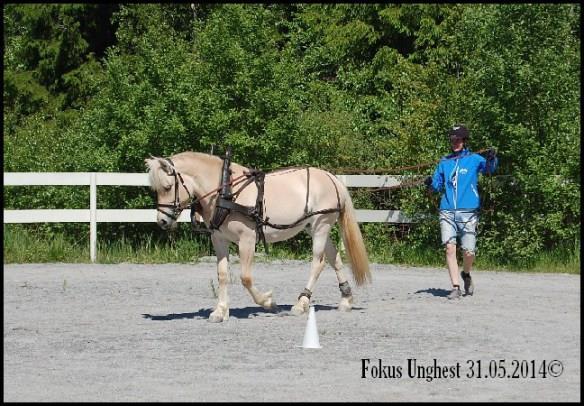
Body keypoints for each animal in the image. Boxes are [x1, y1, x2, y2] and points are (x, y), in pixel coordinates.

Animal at [145, 151, 370, 322]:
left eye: (167, 187)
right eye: (156, 189)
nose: (162, 221)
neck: (226, 191)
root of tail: (332, 179)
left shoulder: (247, 239)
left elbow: (245, 277)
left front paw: (268, 302)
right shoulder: (219, 239)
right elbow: (223, 275)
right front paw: (220, 311)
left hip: (321, 225)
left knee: (319, 262)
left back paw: (301, 303)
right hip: (313, 227)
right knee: (334, 258)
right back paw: (346, 299)